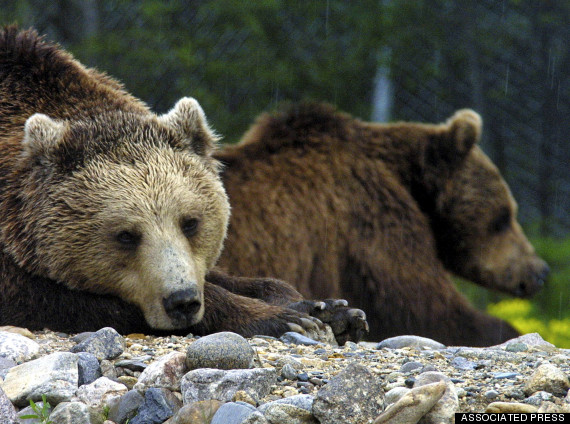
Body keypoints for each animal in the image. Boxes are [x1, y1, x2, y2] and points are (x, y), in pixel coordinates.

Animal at [0, 26, 364, 342]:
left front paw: (329, 308)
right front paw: (281, 318)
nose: (183, 301)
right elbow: (58, 298)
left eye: (190, 222)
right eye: (126, 235)